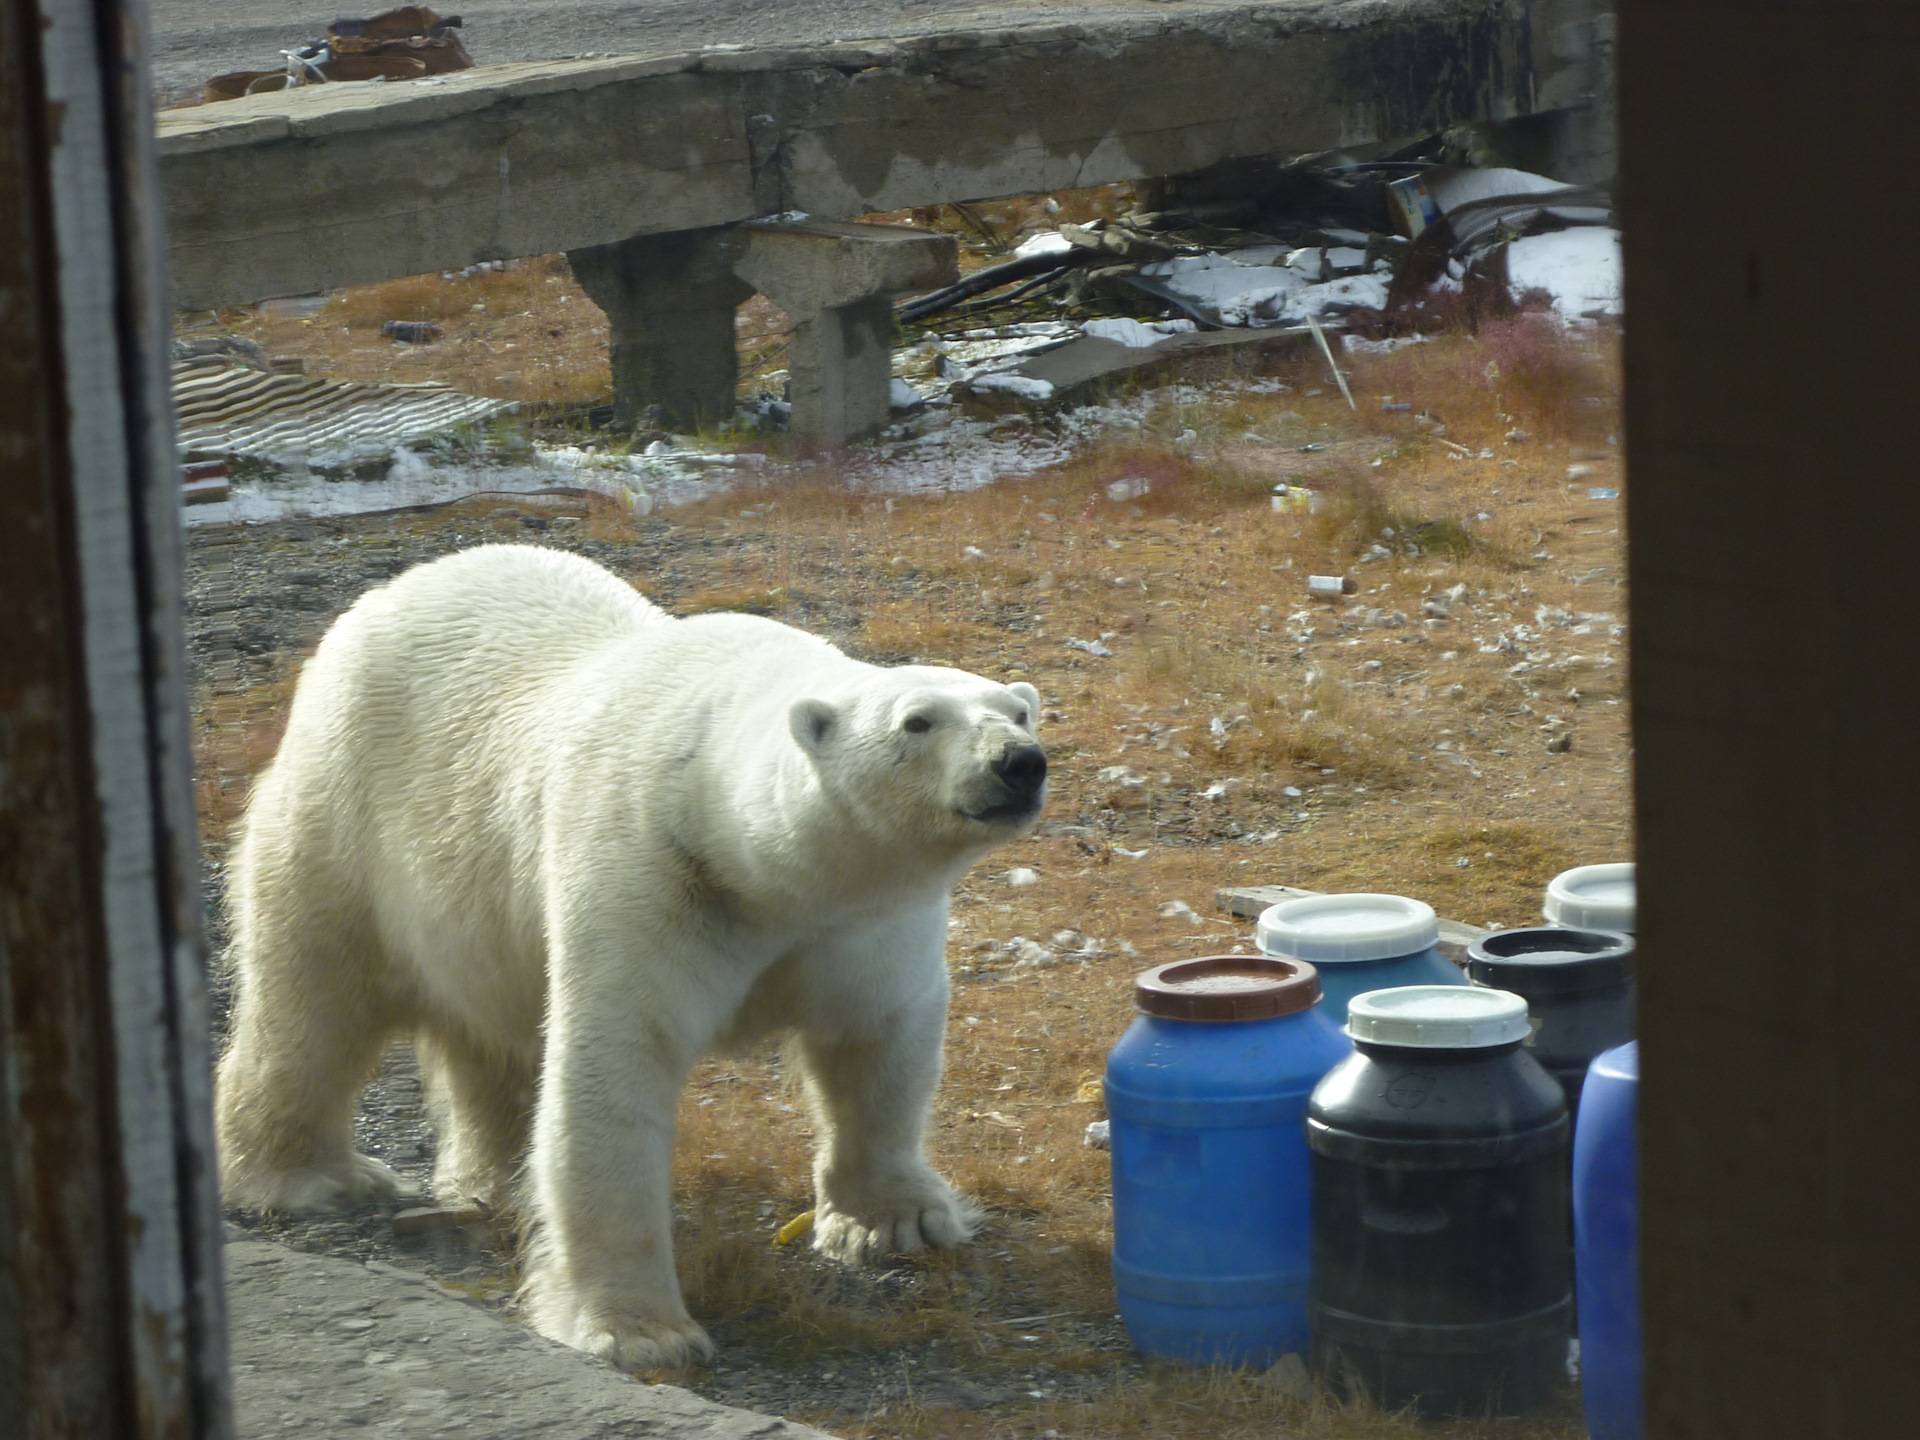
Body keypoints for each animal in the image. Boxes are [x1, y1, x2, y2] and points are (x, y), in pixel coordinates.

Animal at [216, 541, 1044, 1367]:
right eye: (917, 721)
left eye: (1018, 711)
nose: (1019, 762)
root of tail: (392, 591)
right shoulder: (648, 876)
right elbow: (612, 1071)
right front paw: (641, 1332)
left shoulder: (863, 923)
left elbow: (879, 1044)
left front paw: (898, 1220)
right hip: (347, 810)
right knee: (314, 994)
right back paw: (315, 1176)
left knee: (490, 1030)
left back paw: (495, 1178)